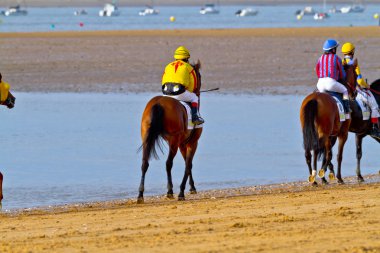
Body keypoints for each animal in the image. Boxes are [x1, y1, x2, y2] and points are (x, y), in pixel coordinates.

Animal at [137, 61, 202, 204]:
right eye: (199, 76)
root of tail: (158, 103)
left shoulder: (183, 144)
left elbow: (188, 164)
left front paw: (190, 187)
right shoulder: (192, 142)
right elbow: (188, 164)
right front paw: (183, 191)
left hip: (146, 137)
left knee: (144, 163)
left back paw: (140, 195)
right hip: (174, 141)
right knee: (168, 163)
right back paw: (171, 190)